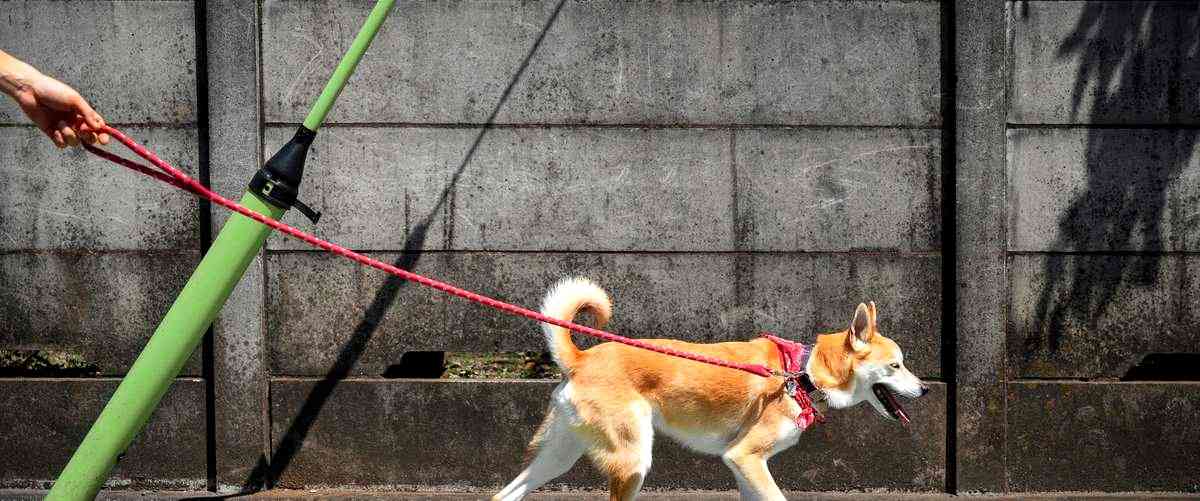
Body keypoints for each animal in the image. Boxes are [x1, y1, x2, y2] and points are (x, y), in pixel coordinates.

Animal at [494, 278, 926, 501]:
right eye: (896, 365)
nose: (924, 389)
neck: (801, 374)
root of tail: (582, 359)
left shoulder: (745, 466)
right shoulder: (746, 457)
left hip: (559, 456)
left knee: (505, 495)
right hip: (632, 462)